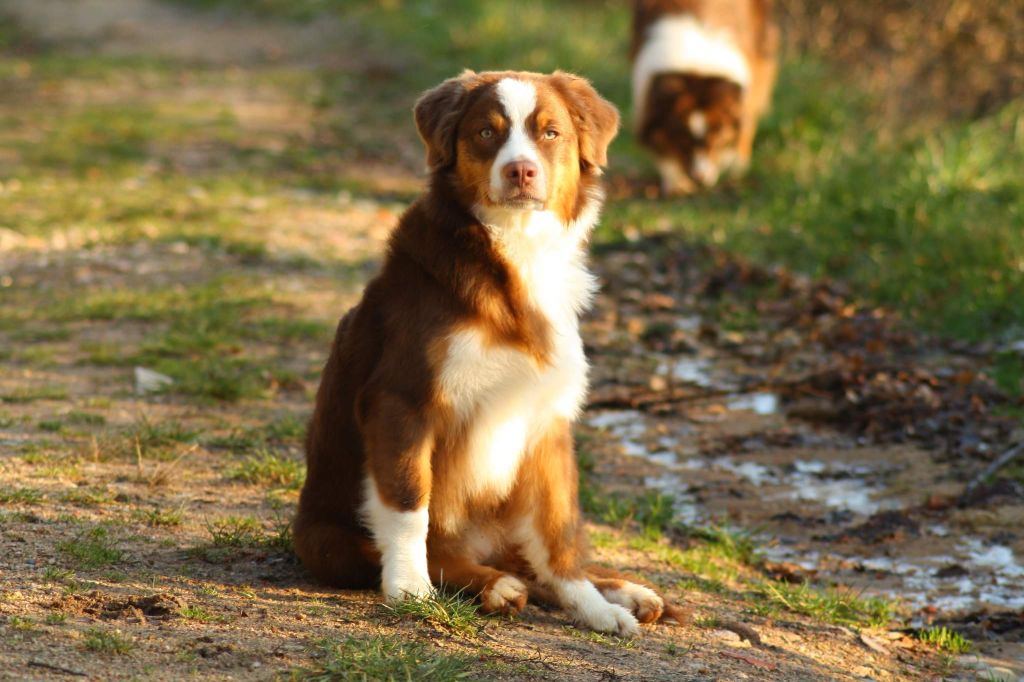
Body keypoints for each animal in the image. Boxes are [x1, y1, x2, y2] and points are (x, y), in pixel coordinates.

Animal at [292, 71, 667, 634]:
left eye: (551, 133)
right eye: (487, 133)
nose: (521, 171)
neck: (514, 251)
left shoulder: (546, 419)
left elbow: (559, 531)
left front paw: (594, 607)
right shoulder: (402, 400)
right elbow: (410, 505)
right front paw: (409, 589)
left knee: (535, 558)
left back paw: (623, 592)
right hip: (325, 541)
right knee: (425, 550)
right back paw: (491, 585)